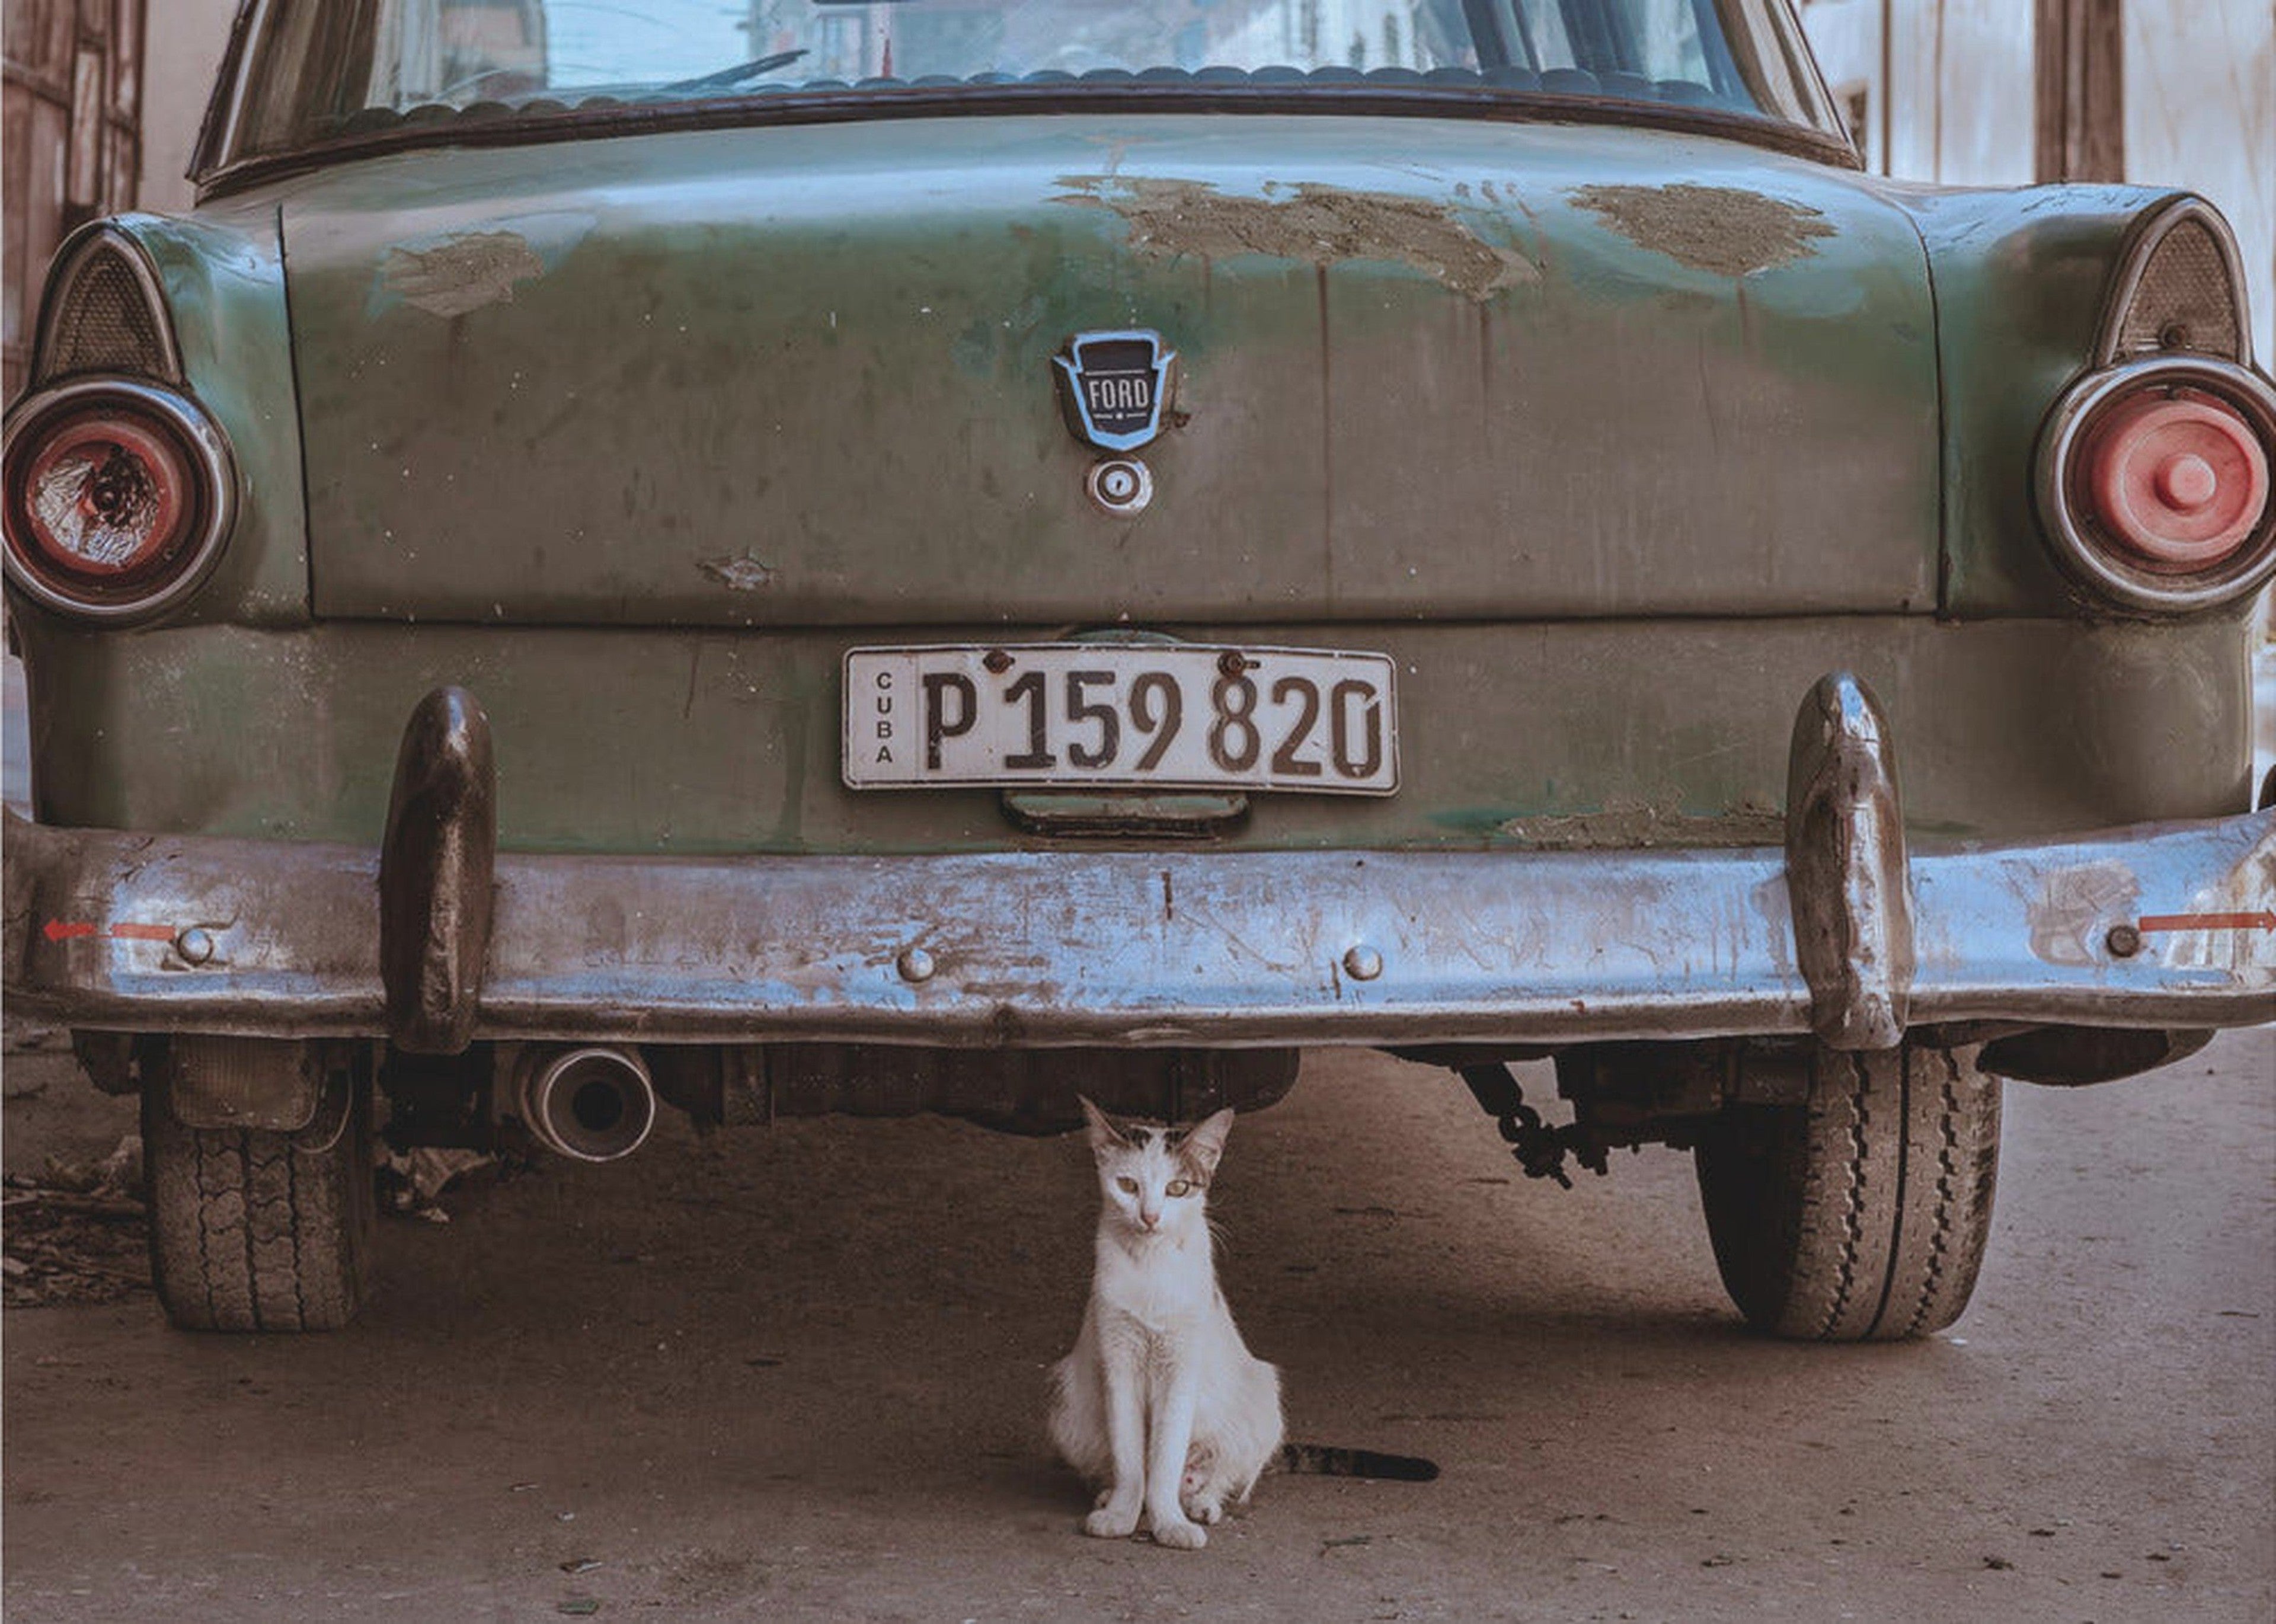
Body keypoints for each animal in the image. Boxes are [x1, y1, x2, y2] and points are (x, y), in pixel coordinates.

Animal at [1042, 1101, 1283, 1546]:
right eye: (1127, 1185)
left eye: (1178, 1188)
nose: (1151, 1216)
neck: (1150, 1264)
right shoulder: (1118, 1358)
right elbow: (1129, 1457)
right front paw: (1121, 1514)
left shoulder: (1182, 1364)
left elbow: (1167, 1457)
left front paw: (1170, 1523)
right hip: (1068, 1407)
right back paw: (1110, 1495)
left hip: (1262, 1398)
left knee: (1223, 1474)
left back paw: (1202, 1503)